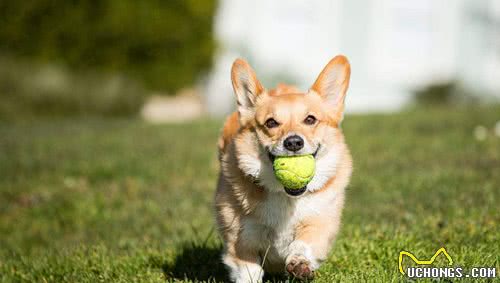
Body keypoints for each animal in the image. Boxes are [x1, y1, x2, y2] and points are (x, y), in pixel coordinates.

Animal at [215, 55, 352, 282]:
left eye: (310, 119)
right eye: (271, 123)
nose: (294, 142)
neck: (286, 196)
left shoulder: (319, 223)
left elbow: (304, 244)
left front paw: (300, 264)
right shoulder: (241, 240)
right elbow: (248, 271)